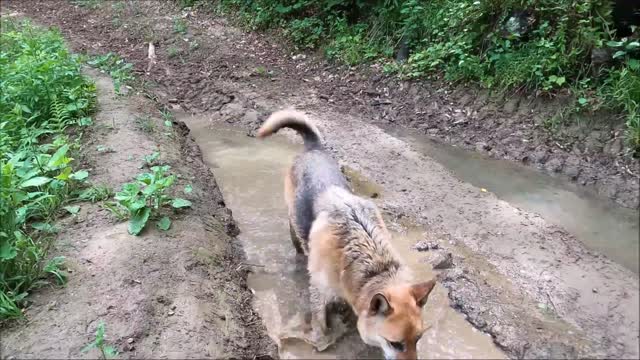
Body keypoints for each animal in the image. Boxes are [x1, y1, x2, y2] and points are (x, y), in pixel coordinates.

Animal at [258, 109, 438, 360]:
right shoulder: (320, 292)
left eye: (418, 340)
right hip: (294, 226)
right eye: (395, 344)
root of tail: (313, 148)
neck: (372, 267)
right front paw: (322, 342)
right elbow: (322, 324)